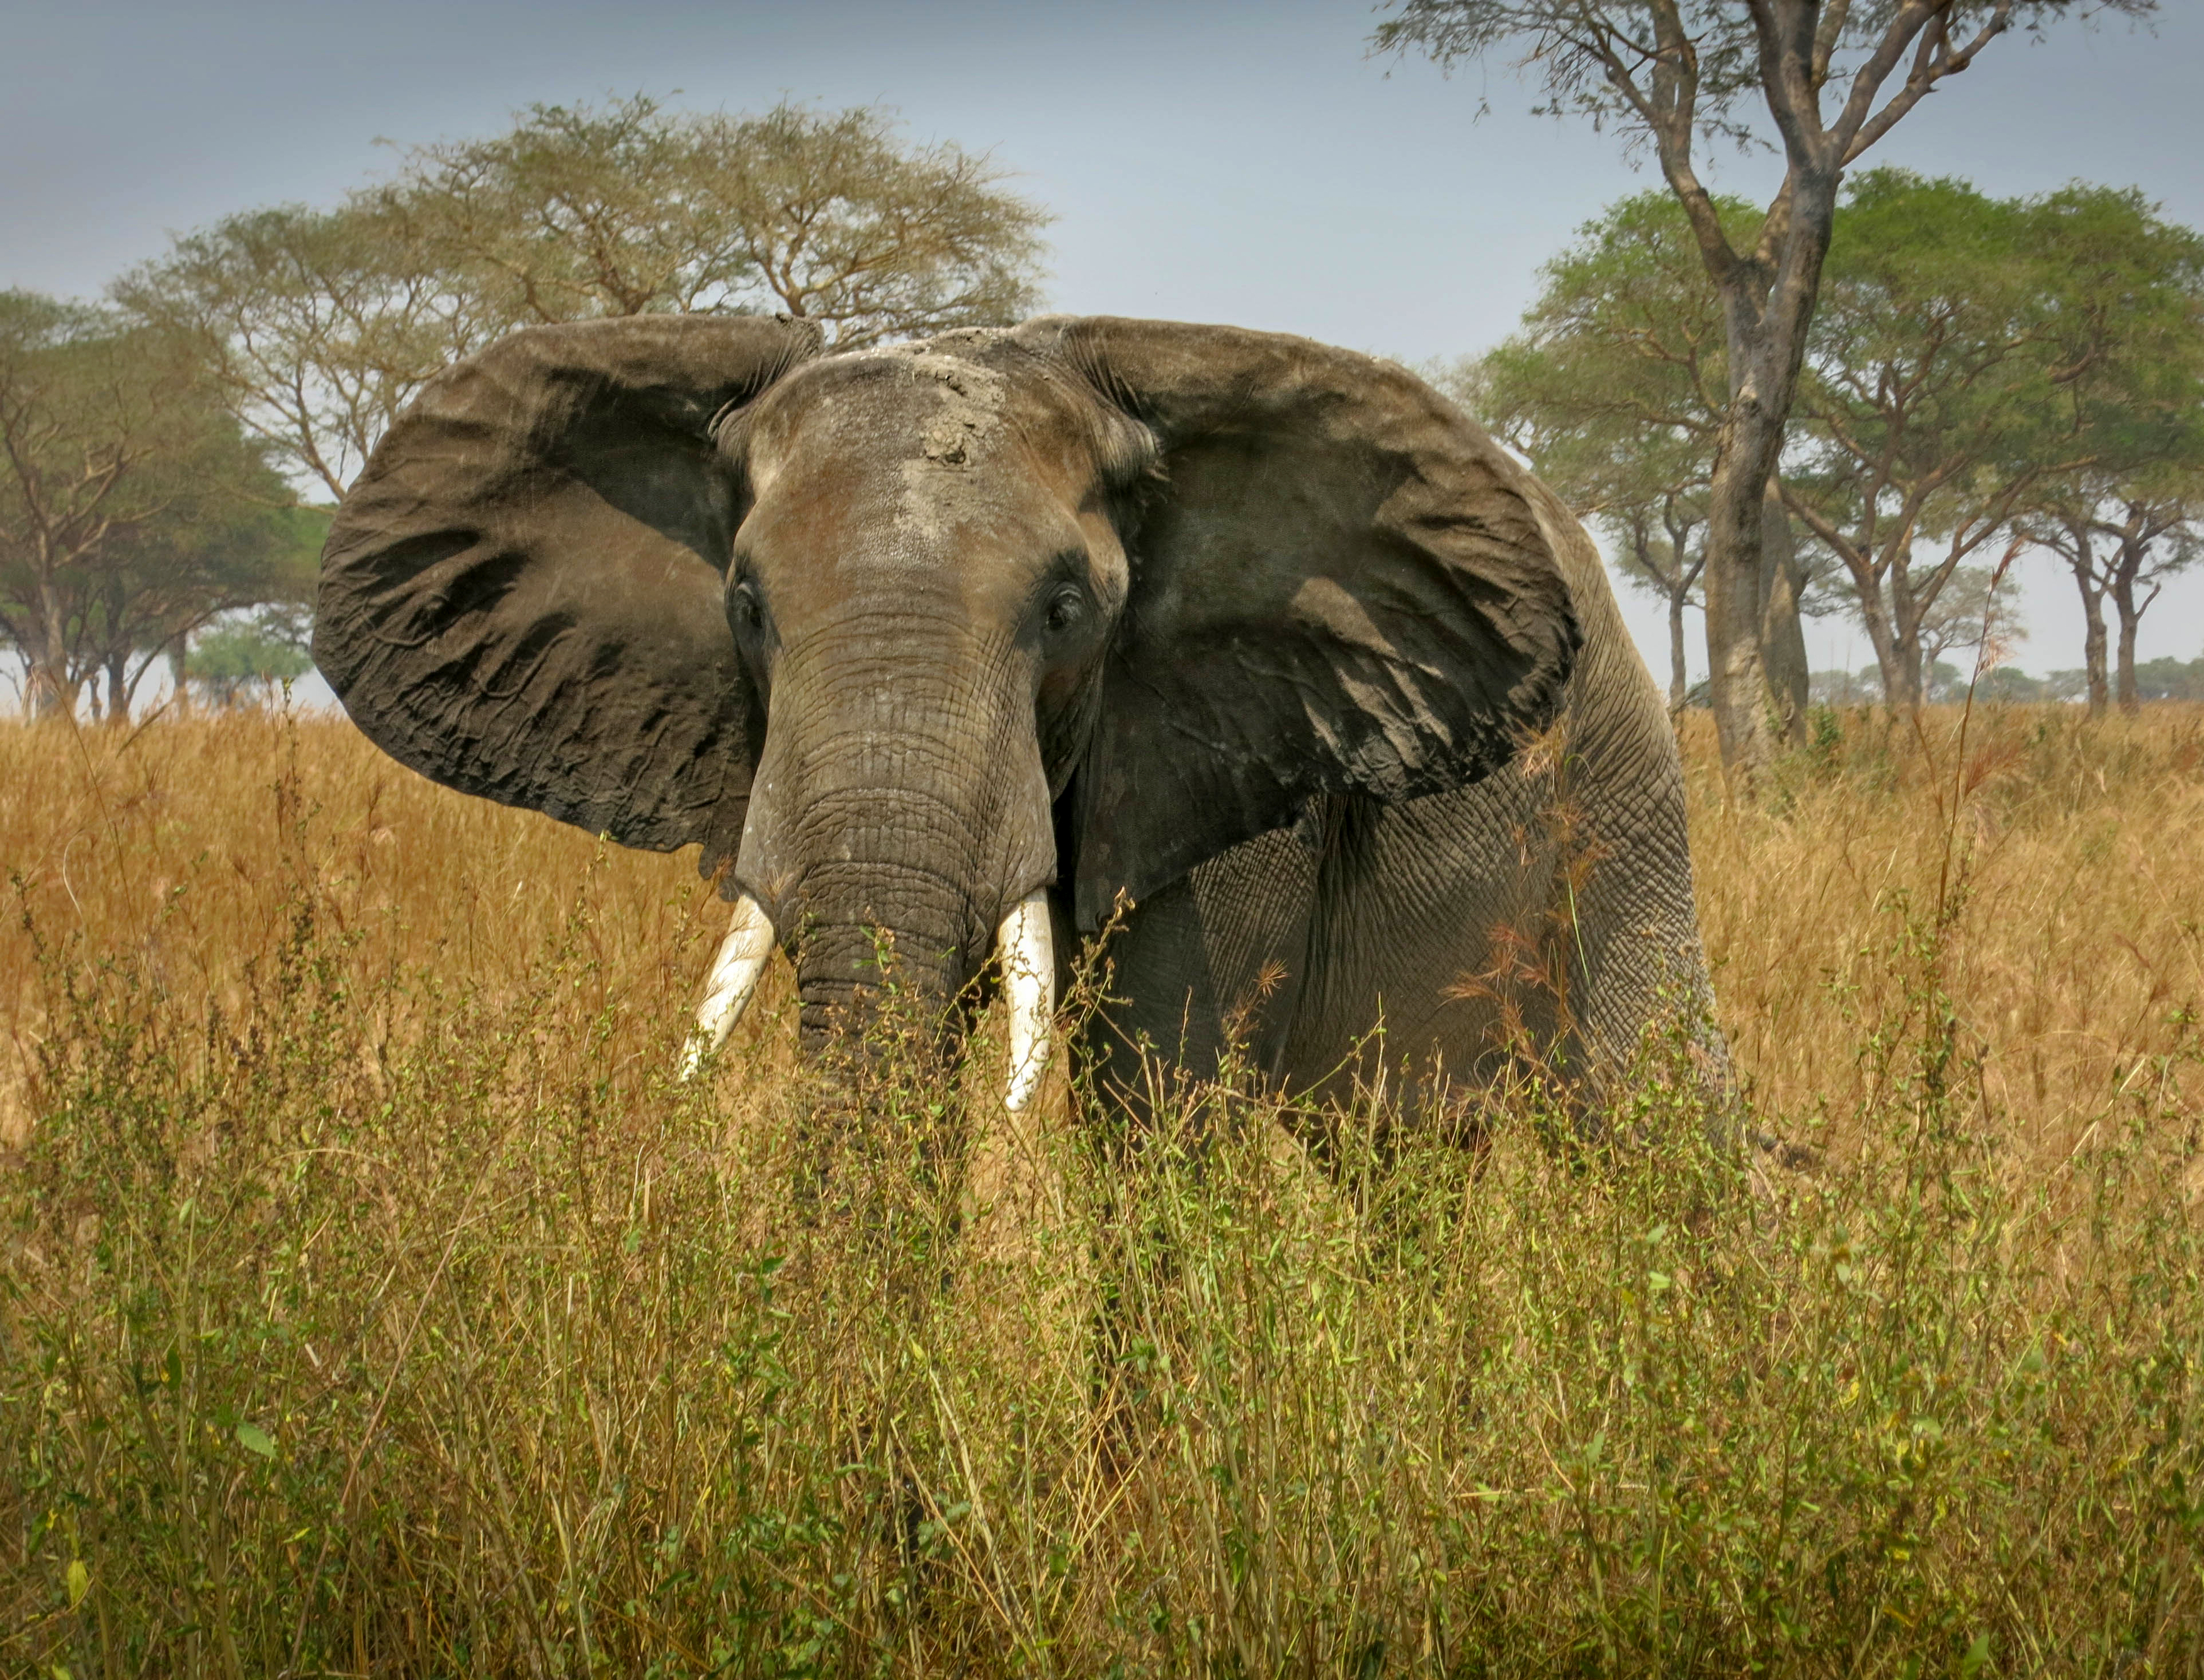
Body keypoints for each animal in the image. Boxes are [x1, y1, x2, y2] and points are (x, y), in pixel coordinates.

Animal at [314, 313, 1728, 1140]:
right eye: (746, 605)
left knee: (1662, 1108)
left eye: (1065, 608)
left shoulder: (1207, 761)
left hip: (1621, 787)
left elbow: (1156, 1120)